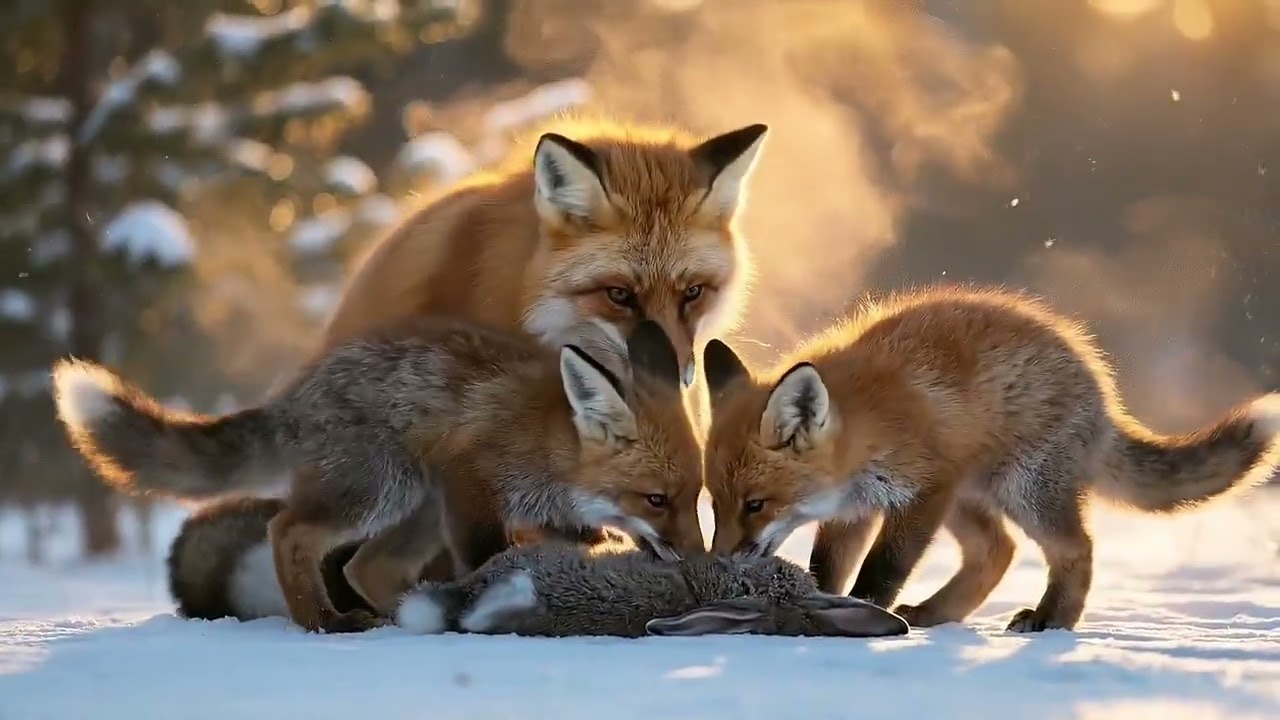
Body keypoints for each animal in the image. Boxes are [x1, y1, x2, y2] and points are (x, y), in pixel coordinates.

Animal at [51, 318, 705, 634]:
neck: (548, 446)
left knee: (367, 567)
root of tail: (300, 390)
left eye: (692, 497)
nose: (701, 560)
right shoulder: (471, 483)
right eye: (655, 499)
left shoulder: (543, 513)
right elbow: (489, 558)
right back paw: (322, 621)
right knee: (289, 531)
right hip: (386, 491)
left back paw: (405, 617)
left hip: (416, 509)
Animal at [699, 286, 1280, 633]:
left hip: (1019, 492)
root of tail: (1104, 395)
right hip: (970, 499)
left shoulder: (920, 492)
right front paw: (824, 607)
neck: (868, 426)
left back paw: (1052, 620)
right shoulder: (856, 509)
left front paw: (864, 613)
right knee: (996, 552)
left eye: (755, 505)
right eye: (716, 503)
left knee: (1076, 550)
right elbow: (829, 569)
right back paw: (937, 613)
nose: (718, 559)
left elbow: (884, 569)